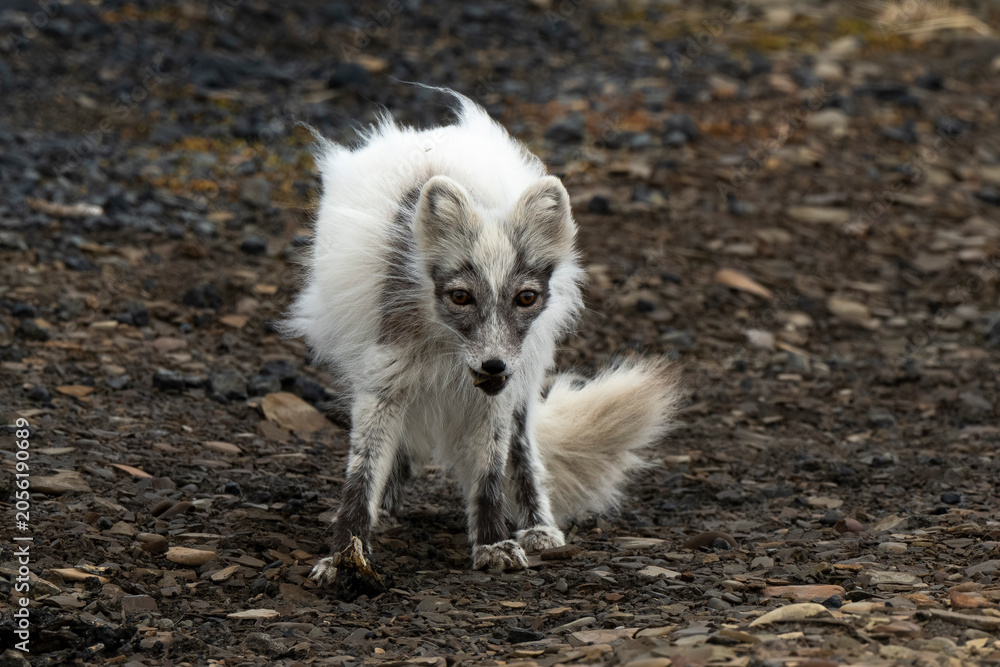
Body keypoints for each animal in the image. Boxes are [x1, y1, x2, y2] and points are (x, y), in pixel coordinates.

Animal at [283, 91, 683, 586]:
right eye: (461, 296)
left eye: (525, 297)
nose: (493, 365)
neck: (444, 347)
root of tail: (431, 132)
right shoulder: (383, 381)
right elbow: (362, 472)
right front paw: (346, 553)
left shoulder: (496, 397)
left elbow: (491, 473)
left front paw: (494, 543)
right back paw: (389, 506)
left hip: (525, 380)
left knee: (524, 452)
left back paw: (538, 526)